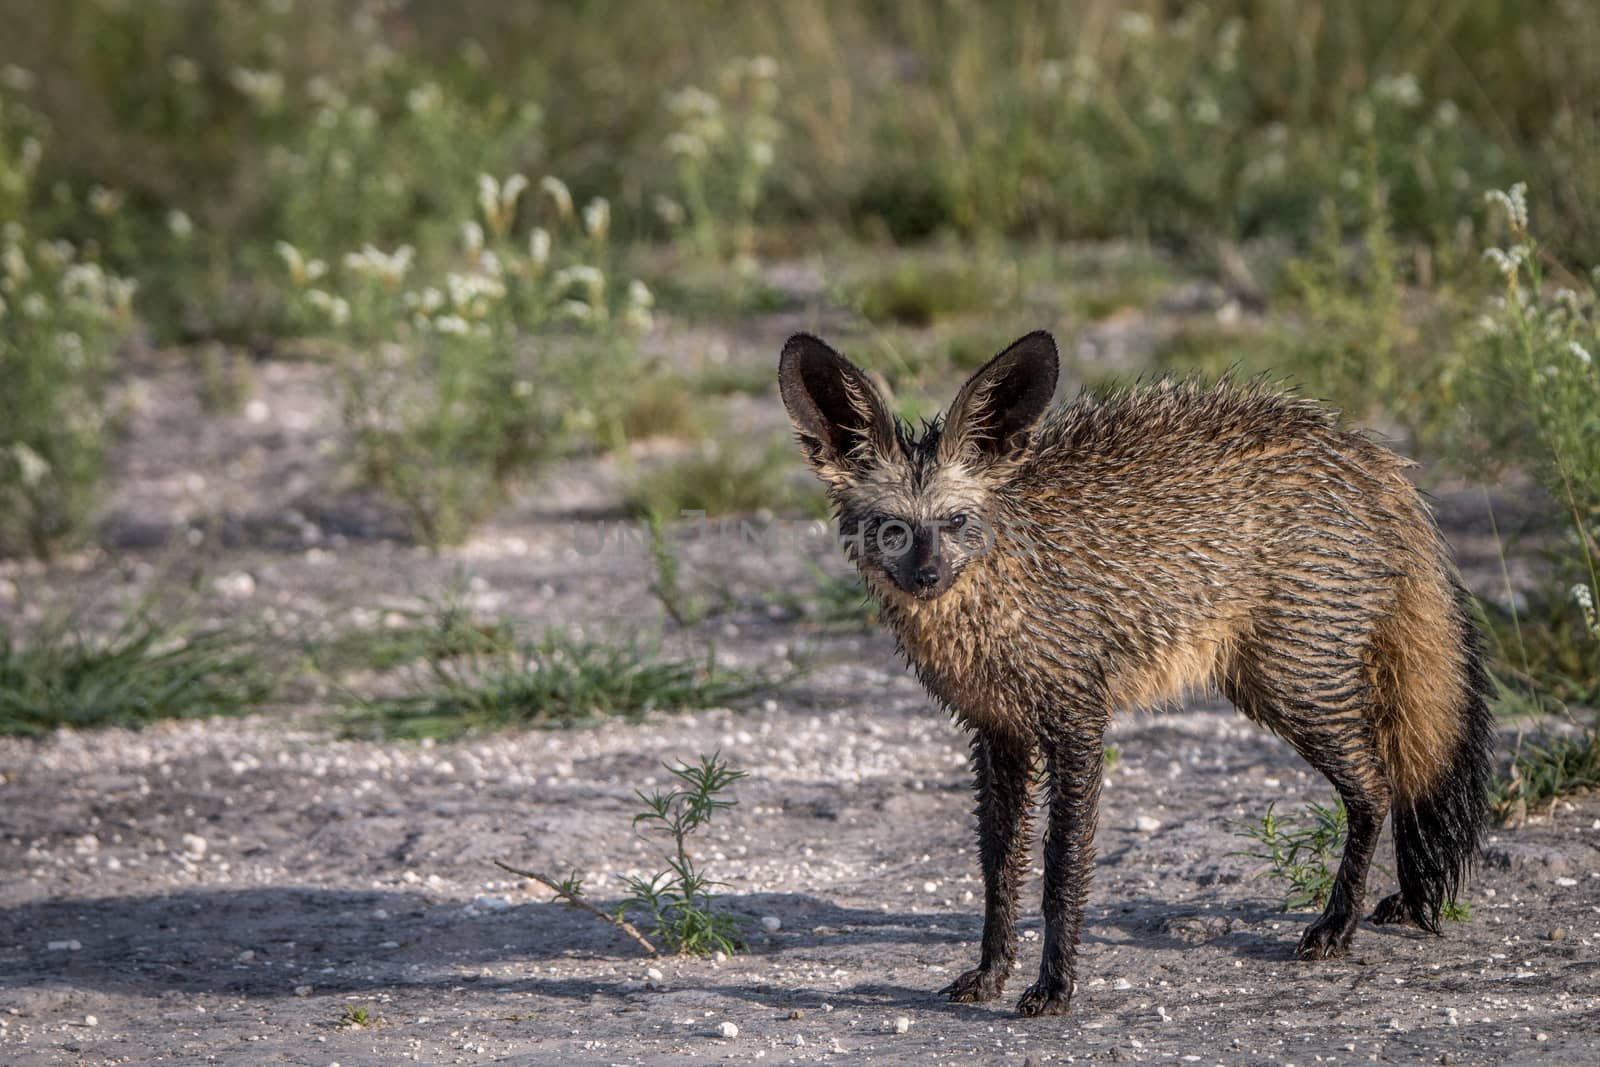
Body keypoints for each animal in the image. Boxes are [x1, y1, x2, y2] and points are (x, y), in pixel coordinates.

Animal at [780, 329, 1491, 1017]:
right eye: (891, 529)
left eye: (956, 522)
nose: (927, 578)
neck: (998, 604)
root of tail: (1372, 458)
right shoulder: (998, 730)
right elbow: (997, 866)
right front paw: (990, 975)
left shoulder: (1077, 721)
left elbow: (1062, 870)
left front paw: (1055, 988)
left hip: (1293, 683)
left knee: (1377, 785)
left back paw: (1337, 926)